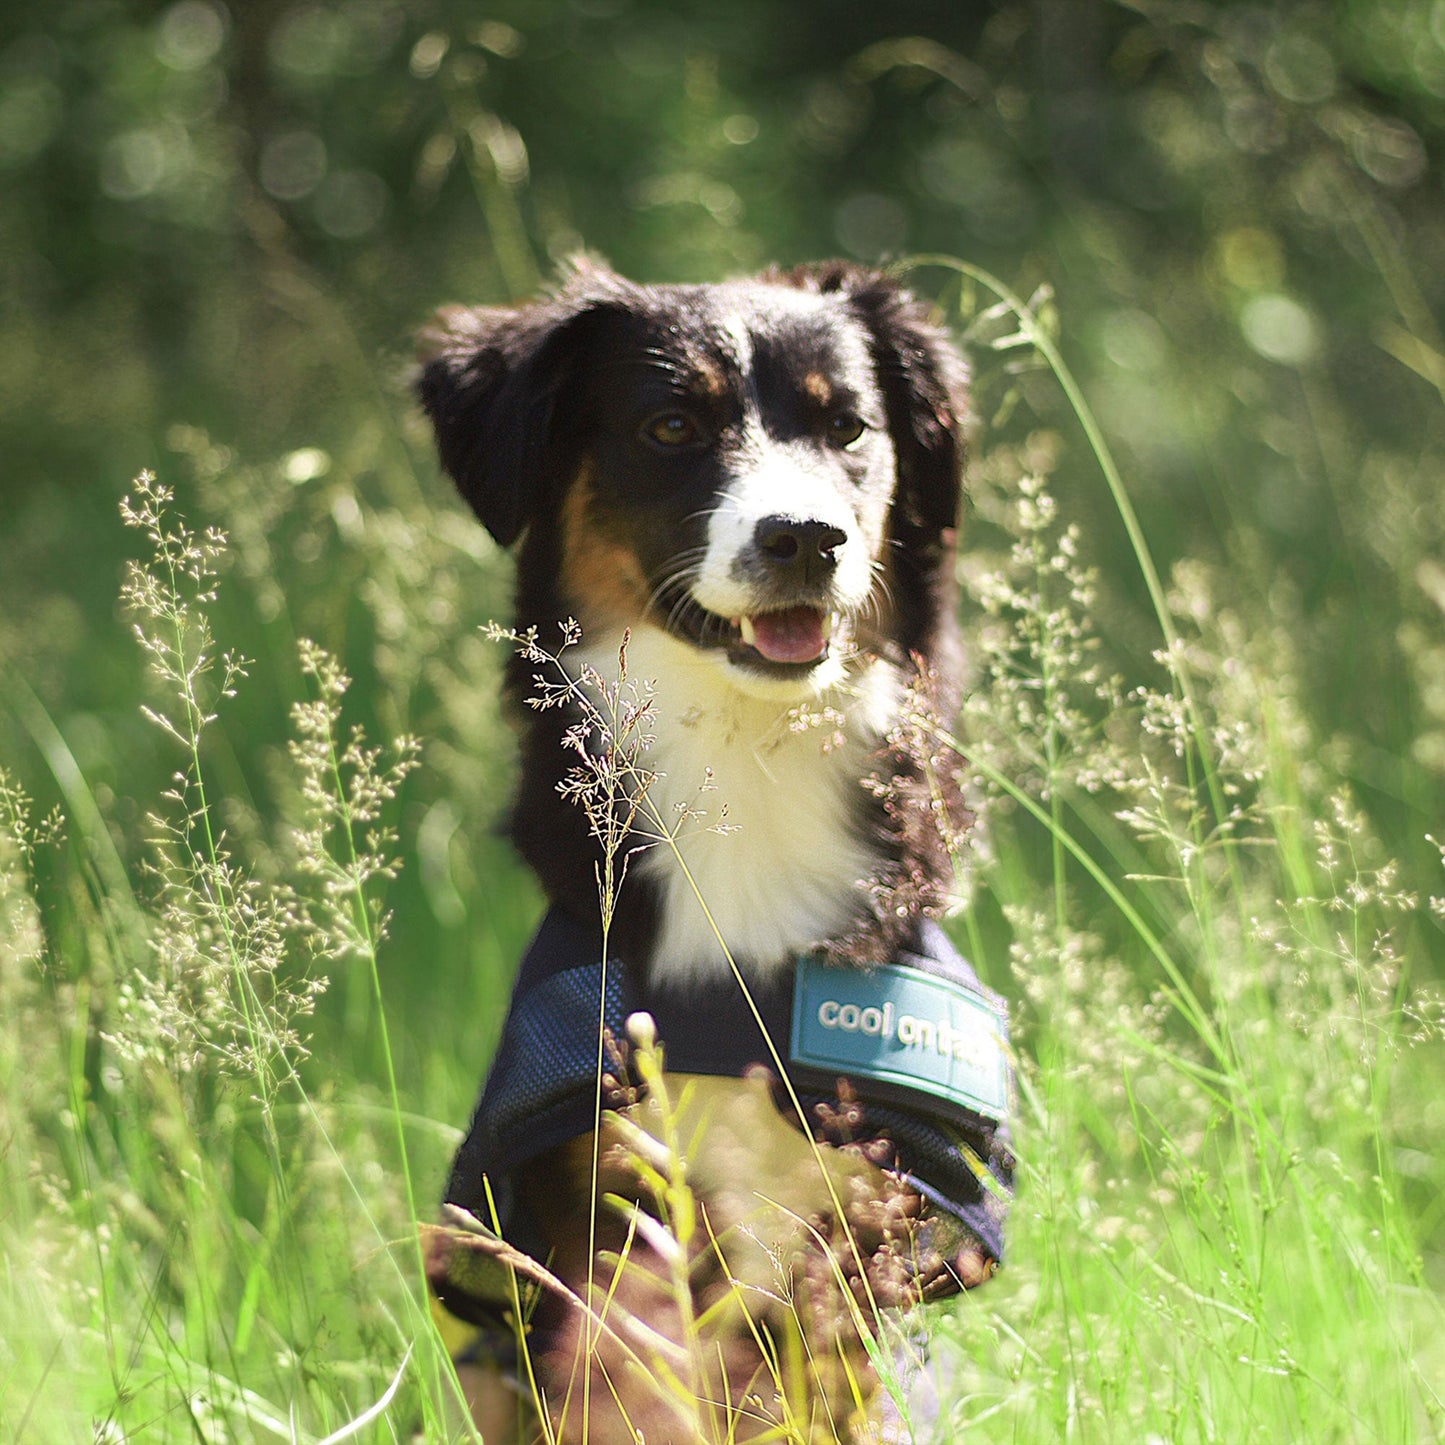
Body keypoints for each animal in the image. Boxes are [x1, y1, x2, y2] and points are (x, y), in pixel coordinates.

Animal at [413, 262, 1011, 1445]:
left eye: (847, 427)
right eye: (672, 425)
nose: (806, 537)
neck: (747, 757)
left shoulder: (864, 1212)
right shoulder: (595, 1199)